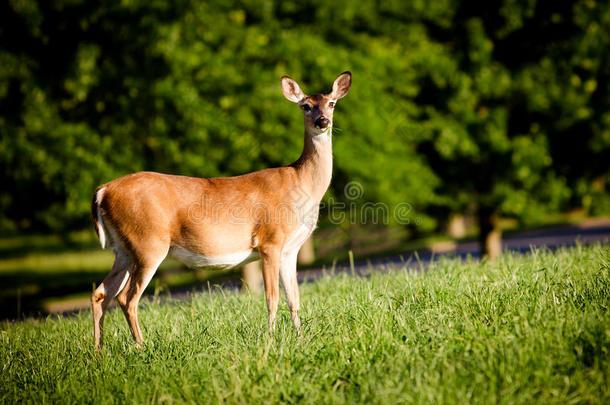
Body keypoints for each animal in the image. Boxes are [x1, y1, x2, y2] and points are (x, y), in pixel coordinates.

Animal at [88, 71, 350, 348]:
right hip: (148, 242)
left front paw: (300, 339)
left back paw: (98, 350)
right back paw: (141, 346)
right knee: (127, 298)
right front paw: (270, 338)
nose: (322, 121)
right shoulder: (270, 241)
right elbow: (272, 297)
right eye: (306, 106)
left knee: (101, 293)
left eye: (332, 103)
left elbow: (294, 298)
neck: (301, 183)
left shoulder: (290, 249)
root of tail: (103, 190)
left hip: (123, 249)